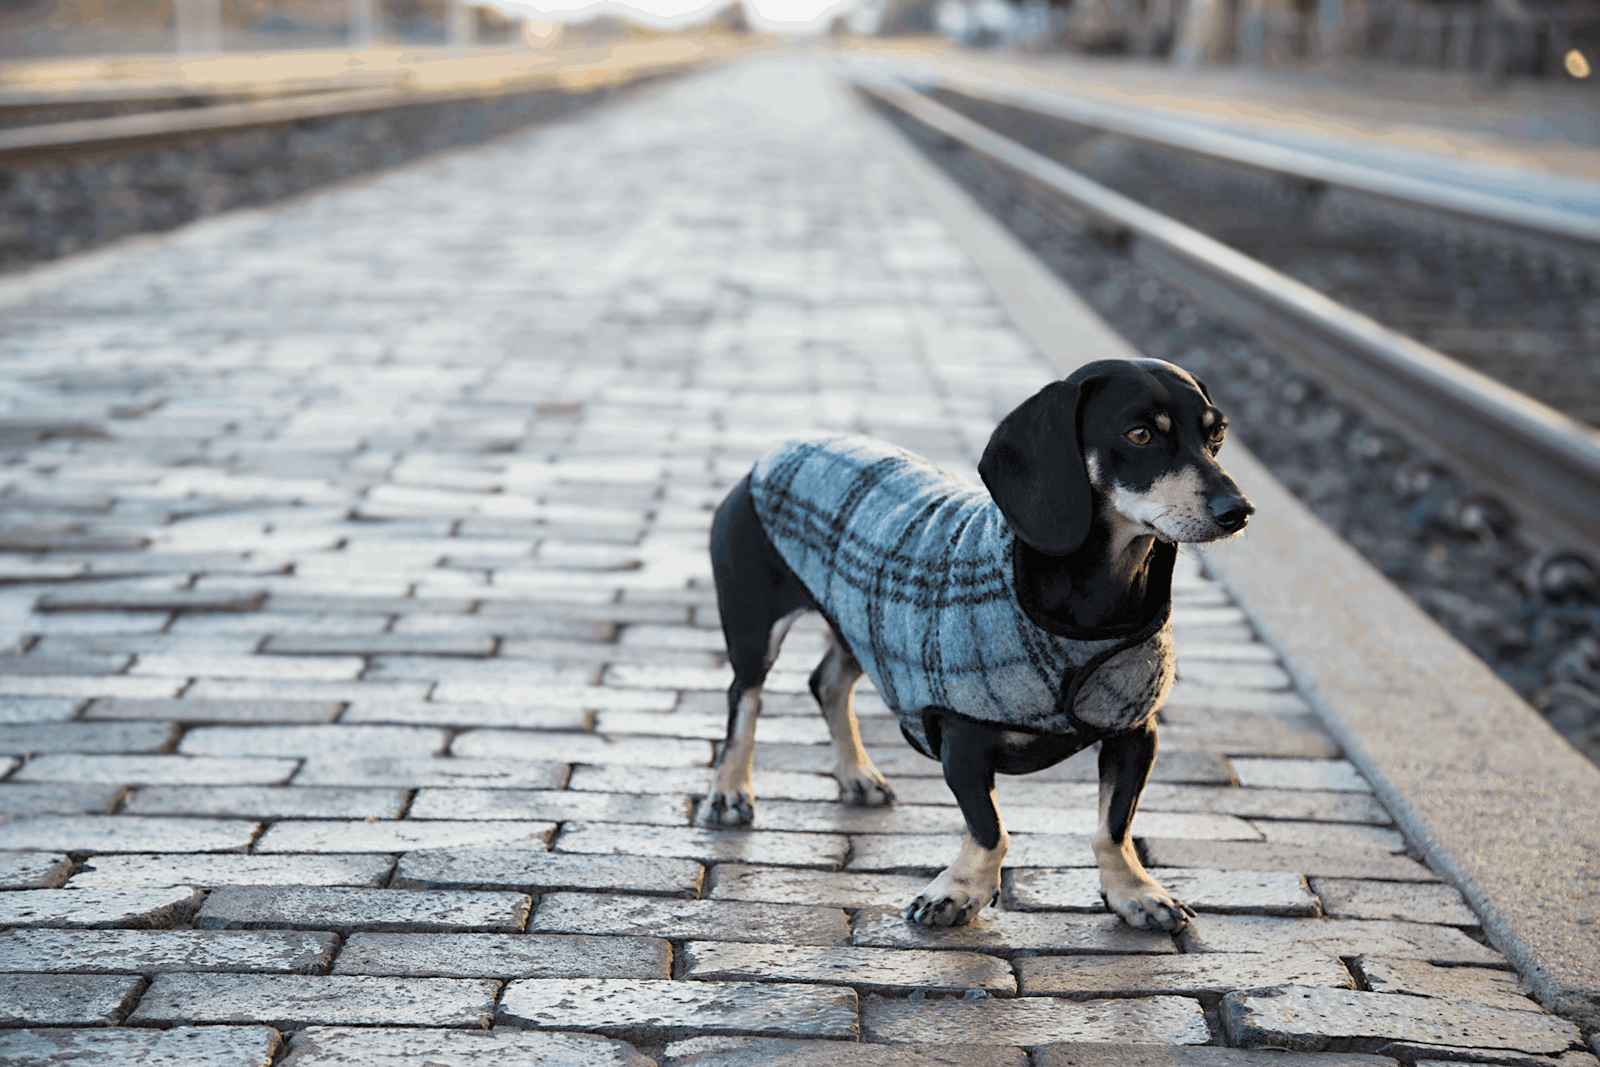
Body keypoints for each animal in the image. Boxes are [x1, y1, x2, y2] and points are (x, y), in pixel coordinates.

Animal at [700, 355, 1248, 927]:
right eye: (1139, 434)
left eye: (1217, 433)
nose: (1239, 510)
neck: (1090, 609)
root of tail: (778, 450)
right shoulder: (958, 737)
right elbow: (989, 829)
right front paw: (959, 891)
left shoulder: (1135, 732)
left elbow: (1114, 826)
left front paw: (1134, 892)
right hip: (754, 628)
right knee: (745, 697)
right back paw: (730, 789)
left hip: (863, 626)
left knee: (827, 684)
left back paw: (857, 776)